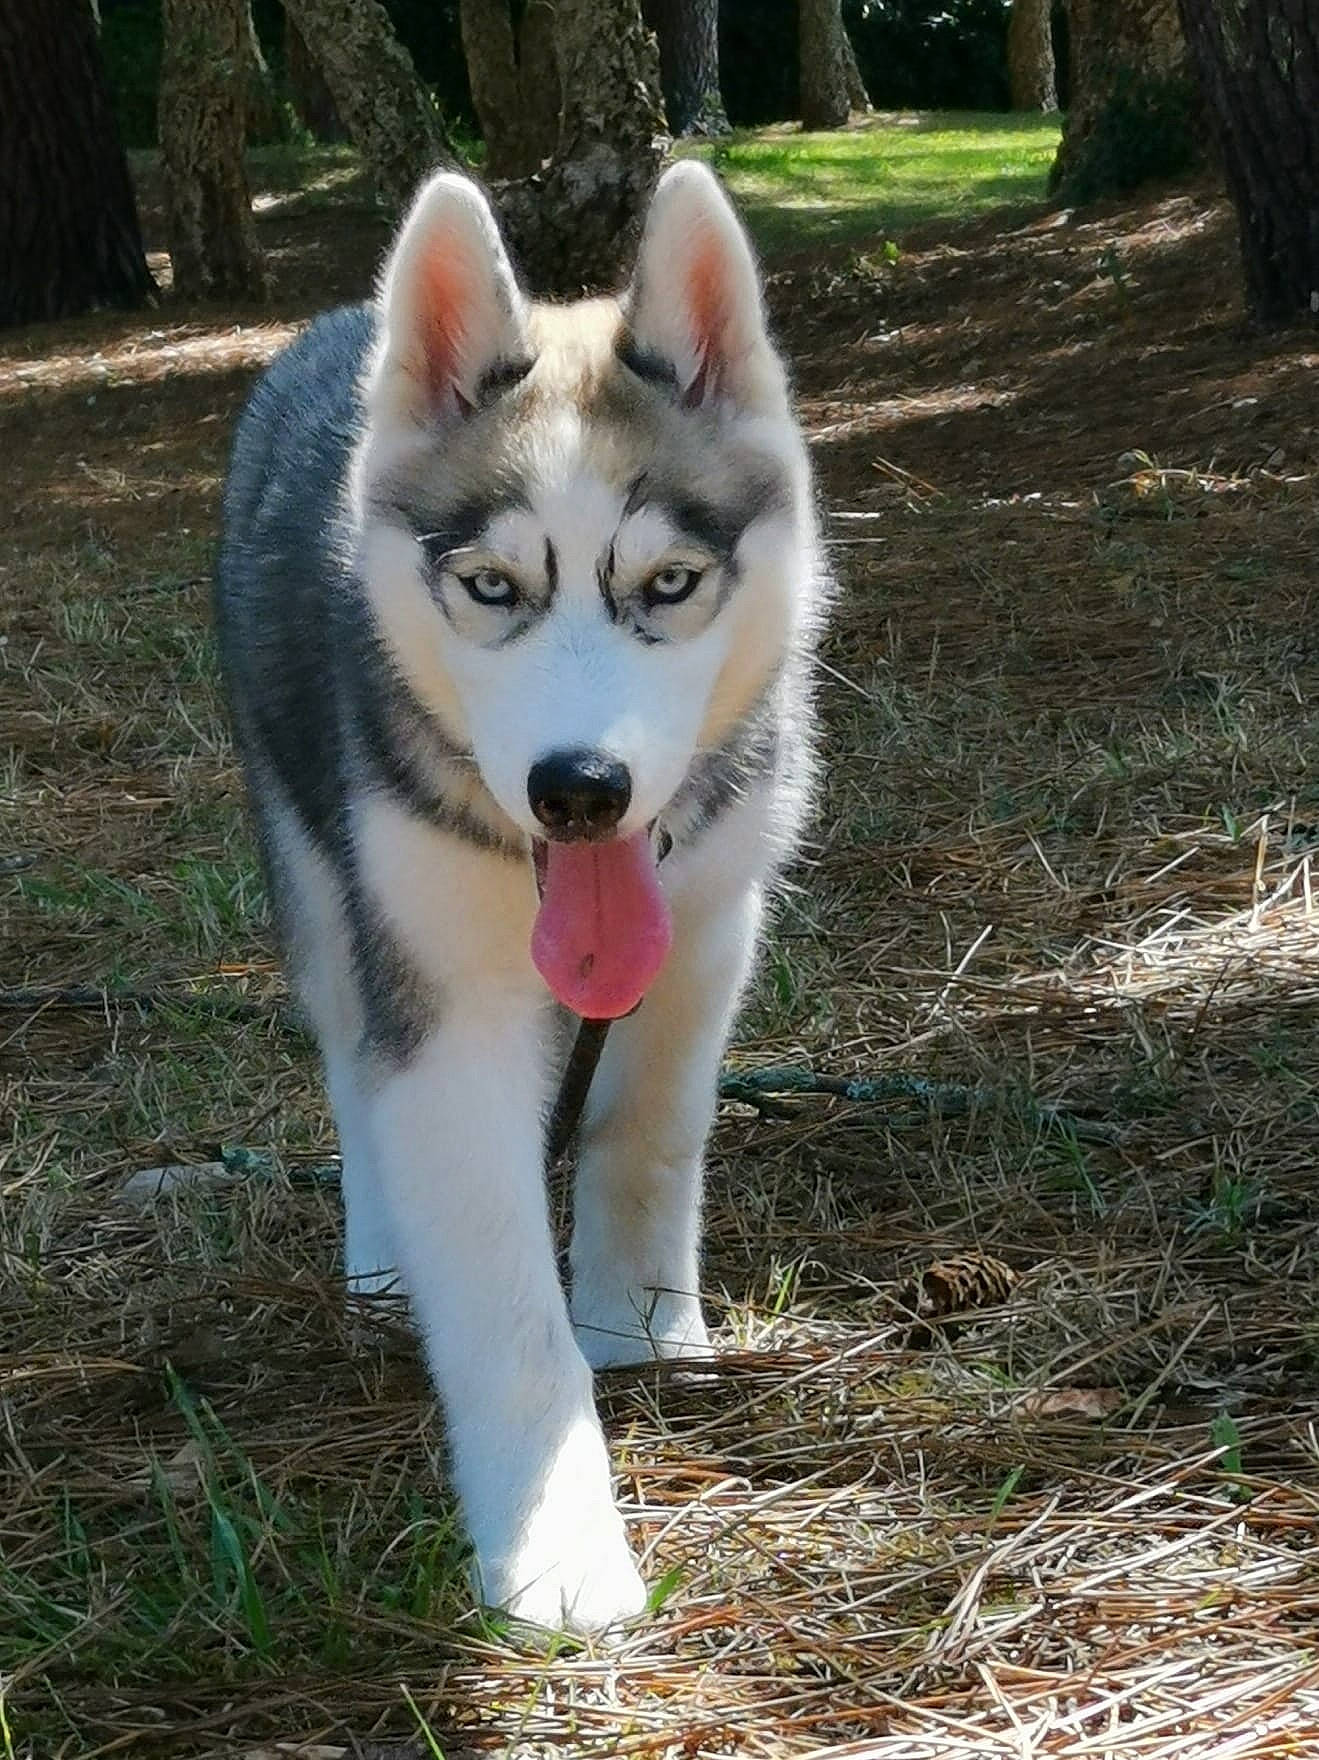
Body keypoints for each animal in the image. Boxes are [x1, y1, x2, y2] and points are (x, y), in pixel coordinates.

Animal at [214, 162, 823, 1633]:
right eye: (493, 587)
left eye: (668, 583)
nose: (579, 791)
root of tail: (337, 324)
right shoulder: (447, 1010)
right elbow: (498, 1302)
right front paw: (556, 1548)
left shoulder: (708, 932)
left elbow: (646, 1134)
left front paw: (640, 1328)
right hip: (315, 869)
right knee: (348, 1062)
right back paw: (382, 1258)